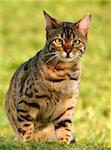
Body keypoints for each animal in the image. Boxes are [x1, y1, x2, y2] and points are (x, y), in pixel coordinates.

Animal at [5, 10, 91, 143]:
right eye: (59, 41)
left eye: (76, 42)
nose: (68, 51)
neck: (63, 74)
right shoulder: (26, 103)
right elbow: (25, 128)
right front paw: (26, 143)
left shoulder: (67, 106)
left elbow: (64, 127)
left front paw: (62, 143)